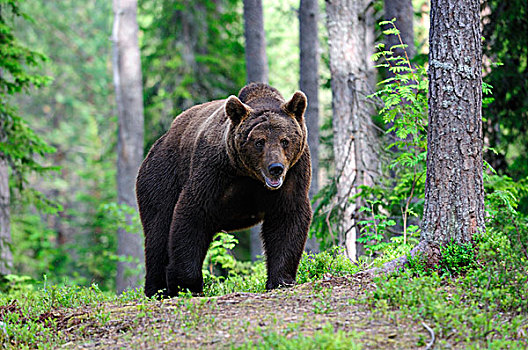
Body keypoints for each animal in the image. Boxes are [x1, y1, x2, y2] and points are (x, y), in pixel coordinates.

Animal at [135, 83, 314, 296]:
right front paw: (186, 284)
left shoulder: (293, 174)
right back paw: (157, 289)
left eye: (284, 140)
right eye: (259, 141)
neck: (250, 175)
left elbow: (287, 219)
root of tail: (158, 143)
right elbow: (192, 214)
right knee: (159, 229)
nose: (276, 168)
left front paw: (281, 279)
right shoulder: (215, 171)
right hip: (162, 176)